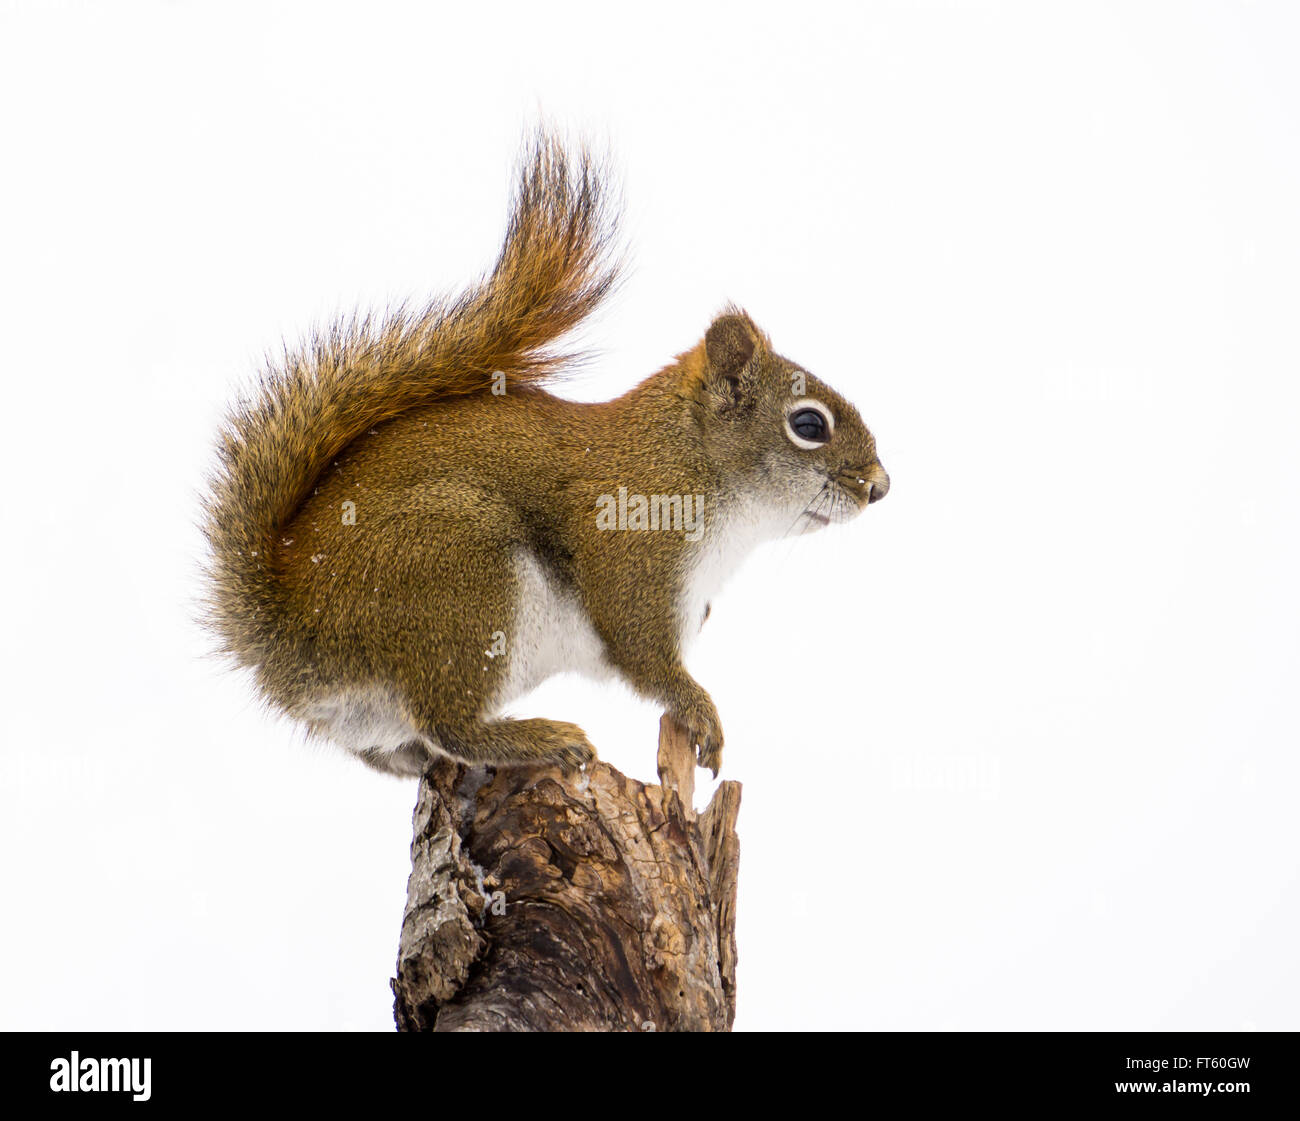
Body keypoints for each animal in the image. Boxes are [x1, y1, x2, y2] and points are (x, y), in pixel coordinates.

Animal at [202, 131, 889, 780]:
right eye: (808, 424)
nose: (879, 486)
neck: (688, 461)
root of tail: (294, 632)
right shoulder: (633, 556)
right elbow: (645, 655)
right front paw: (700, 712)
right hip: (460, 576)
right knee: (449, 722)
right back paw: (540, 739)